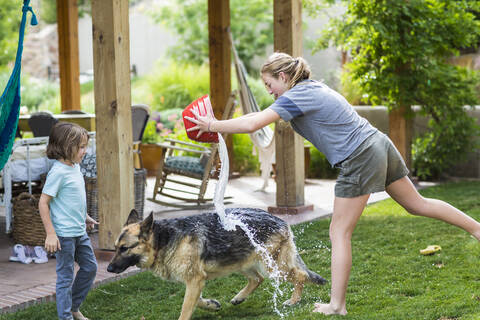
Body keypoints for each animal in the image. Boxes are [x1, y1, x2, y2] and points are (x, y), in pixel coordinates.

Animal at [108, 208, 326, 320]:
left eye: (124, 249)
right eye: (115, 248)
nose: (109, 269)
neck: (164, 239)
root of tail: (281, 220)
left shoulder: (195, 280)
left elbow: (186, 308)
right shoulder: (195, 281)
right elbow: (197, 300)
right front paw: (211, 305)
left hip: (272, 267)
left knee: (300, 275)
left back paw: (294, 300)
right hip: (243, 262)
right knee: (257, 279)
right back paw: (239, 297)